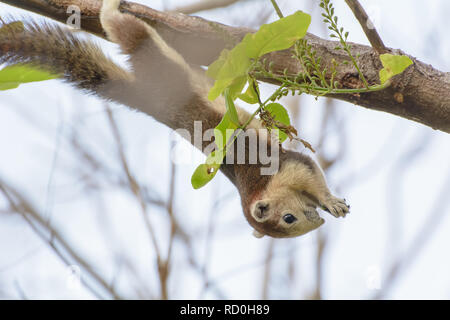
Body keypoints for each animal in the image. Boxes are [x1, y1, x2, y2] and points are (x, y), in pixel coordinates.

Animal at [0, 0, 350, 239]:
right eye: (289, 221)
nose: (317, 222)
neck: (257, 187)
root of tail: (148, 97)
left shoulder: (286, 167)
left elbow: (311, 172)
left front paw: (329, 202)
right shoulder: (286, 171)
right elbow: (311, 176)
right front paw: (329, 204)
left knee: (122, 28)